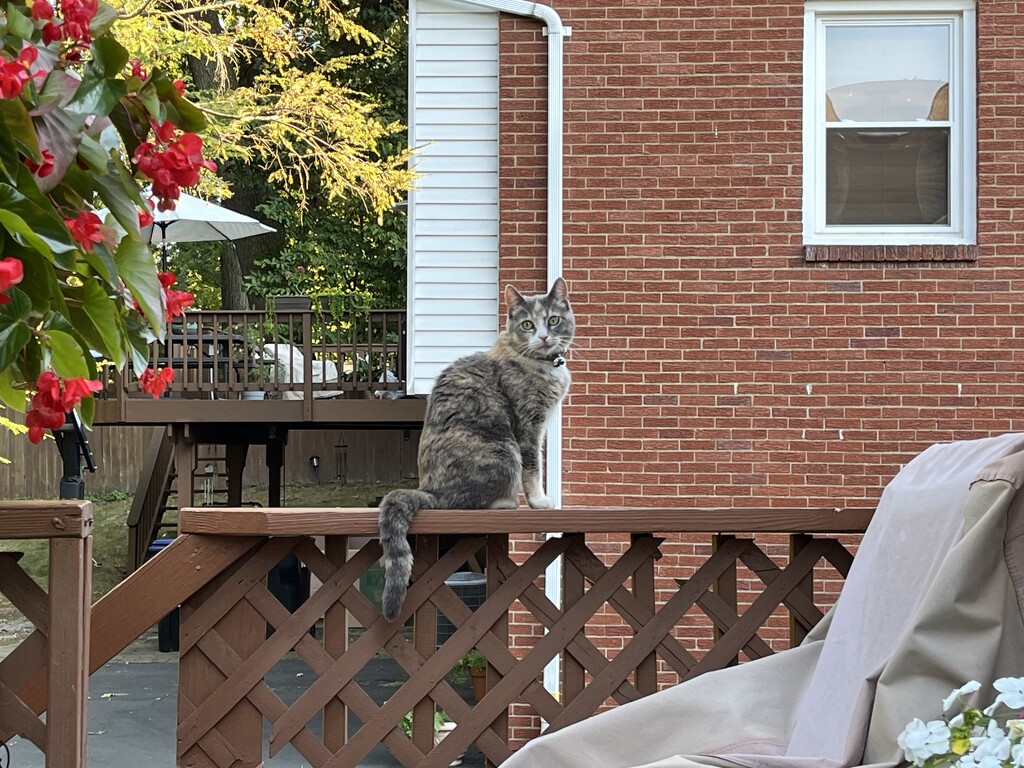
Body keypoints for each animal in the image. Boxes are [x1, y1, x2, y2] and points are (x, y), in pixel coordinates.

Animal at [378, 280, 577, 622]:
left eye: (552, 320)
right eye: (527, 324)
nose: (542, 336)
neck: (535, 362)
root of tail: (431, 490)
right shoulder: (528, 427)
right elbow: (534, 466)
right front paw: (539, 502)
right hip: (503, 450)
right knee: (470, 501)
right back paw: (506, 502)